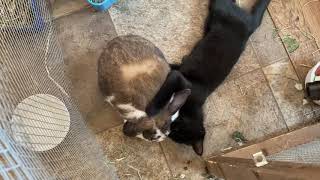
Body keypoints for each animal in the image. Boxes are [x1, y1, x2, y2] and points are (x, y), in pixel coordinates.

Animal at [147, 0, 270, 155]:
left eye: (177, 133)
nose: (167, 130)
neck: (192, 107)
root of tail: (250, 27)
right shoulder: (180, 76)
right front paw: (151, 109)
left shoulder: (177, 73)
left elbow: (170, 71)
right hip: (221, 11)